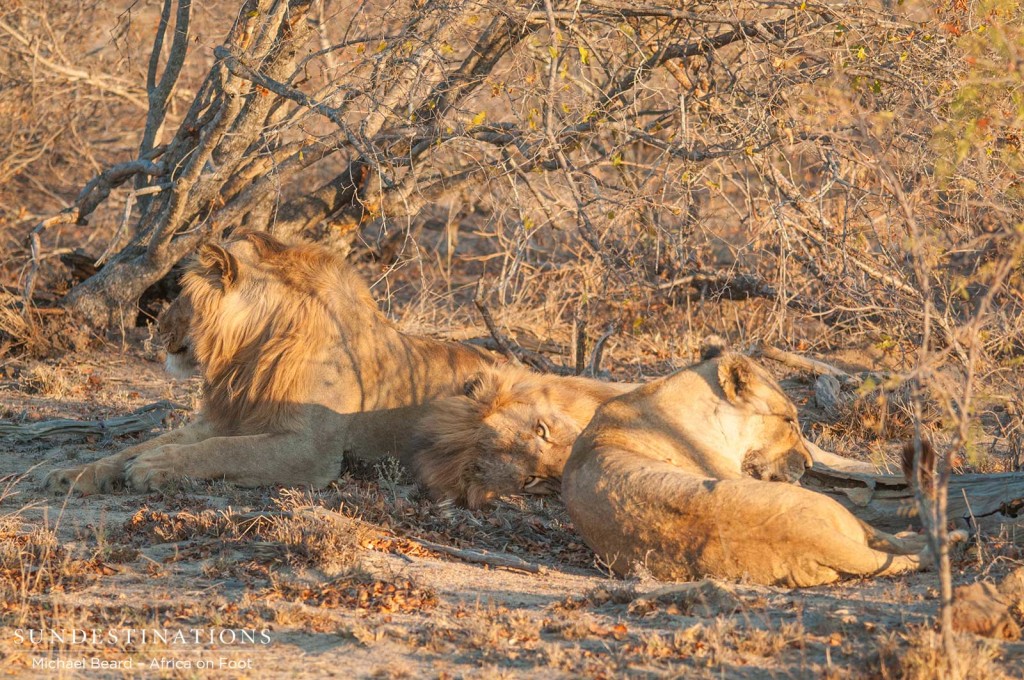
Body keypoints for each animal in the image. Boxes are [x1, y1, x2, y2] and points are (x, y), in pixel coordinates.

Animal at [41, 229, 497, 493]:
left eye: (182, 293)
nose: (157, 327)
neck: (248, 353)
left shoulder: (311, 449)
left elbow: (225, 452)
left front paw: (155, 465)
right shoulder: (221, 418)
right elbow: (135, 446)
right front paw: (76, 474)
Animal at [561, 348, 958, 585]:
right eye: (789, 420)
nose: (807, 464)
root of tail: (811, 536)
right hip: (833, 512)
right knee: (892, 540)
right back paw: (947, 537)